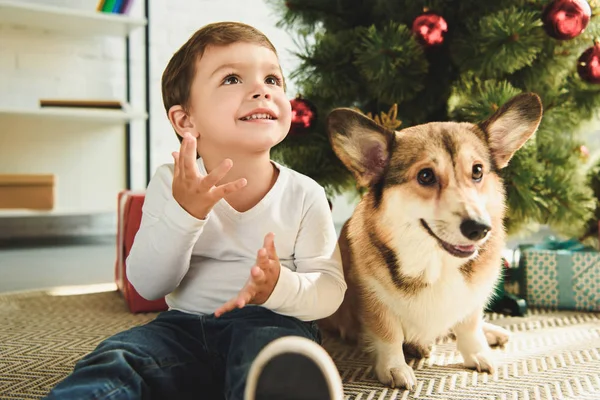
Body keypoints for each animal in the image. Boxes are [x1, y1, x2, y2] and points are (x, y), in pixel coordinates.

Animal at [318, 92, 544, 390]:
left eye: (477, 171)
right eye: (425, 175)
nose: (480, 228)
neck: (437, 264)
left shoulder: (472, 298)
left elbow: (469, 326)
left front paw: (478, 353)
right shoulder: (374, 301)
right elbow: (388, 334)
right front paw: (394, 369)